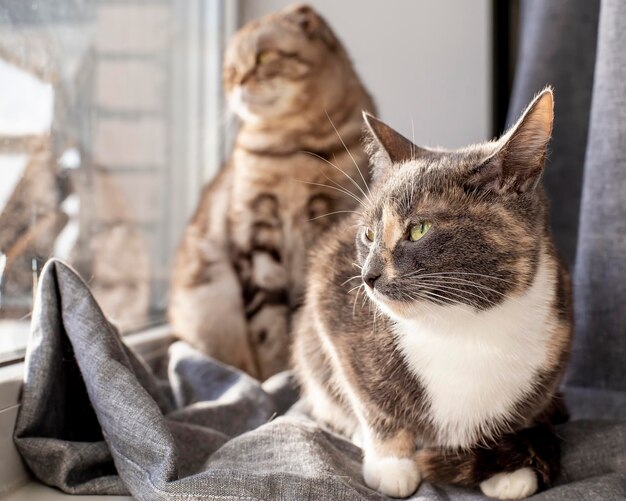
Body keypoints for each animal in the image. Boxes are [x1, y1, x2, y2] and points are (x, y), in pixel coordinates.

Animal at [167, 4, 376, 378]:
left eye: (263, 57)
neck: (292, 150)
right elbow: (267, 323)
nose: (238, 83)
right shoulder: (254, 230)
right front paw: (276, 375)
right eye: (231, 71)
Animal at [292, 88, 572, 498]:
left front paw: (507, 468)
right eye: (368, 235)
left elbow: (521, 412)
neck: (464, 325)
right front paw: (390, 463)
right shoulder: (332, 297)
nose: (367, 276)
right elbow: (371, 400)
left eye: (419, 229)